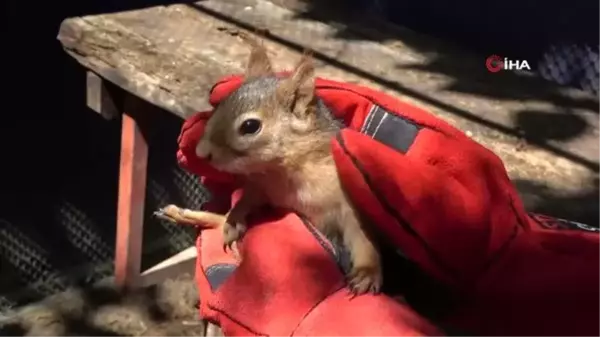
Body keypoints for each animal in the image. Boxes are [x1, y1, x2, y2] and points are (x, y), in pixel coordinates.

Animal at [195, 32, 382, 292]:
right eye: (219, 104)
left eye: (250, 126)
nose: (201, 152)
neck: (286, 172)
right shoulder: (263, 188)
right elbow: (247, 199)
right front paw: (233, 219)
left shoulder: (349, 200)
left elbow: (363, 235)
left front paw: (367, 272)